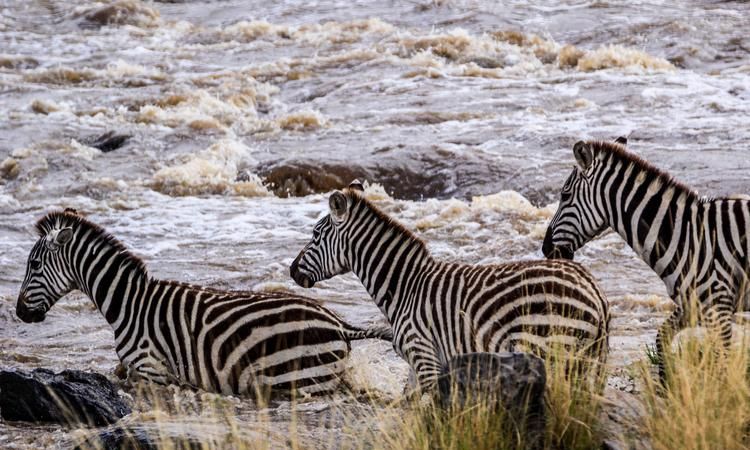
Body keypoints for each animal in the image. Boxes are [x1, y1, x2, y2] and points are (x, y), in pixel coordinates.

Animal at [16, 209, 394, 396]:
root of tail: (338, 323)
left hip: (293, 379)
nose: (19, 312)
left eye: (33, 265)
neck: (129, 304)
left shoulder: (152, 371)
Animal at [288, 182, 612, 390]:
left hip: (551, 351)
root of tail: (595, 291)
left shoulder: (424, 356)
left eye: (315, 235)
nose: (291, 270)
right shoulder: (419, 364)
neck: (404, 287)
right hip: (587, 361)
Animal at [544, 139, 750, 382]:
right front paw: (666, 382)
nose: (545, 248)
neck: (684, 236)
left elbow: (724, 364)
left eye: (565, 196)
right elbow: (661, 338)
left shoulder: (719, 307)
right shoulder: (691, 305)